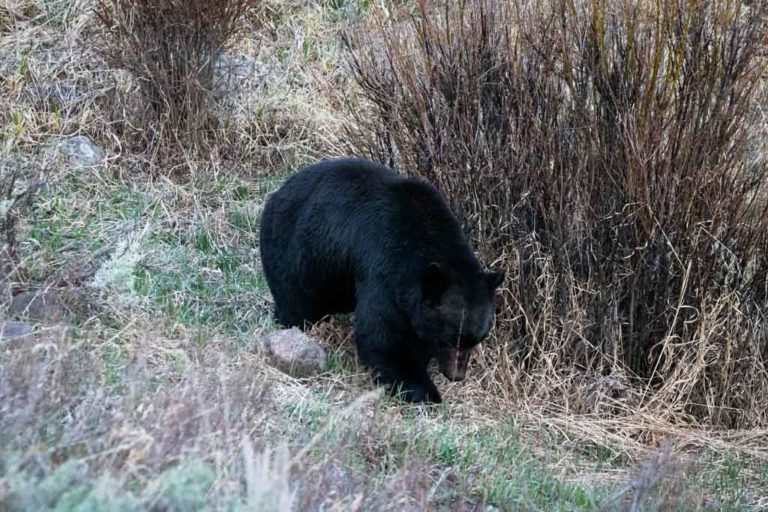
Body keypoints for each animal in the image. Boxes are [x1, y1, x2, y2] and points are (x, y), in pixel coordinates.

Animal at [260, 158, 508, 402]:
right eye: (448, 339)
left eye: (477, 339)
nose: (456, 375)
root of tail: (280, 190)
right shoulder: (385, 266)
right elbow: (383, 334)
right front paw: (423, 390)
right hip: (296, 252)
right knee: (295, 301)